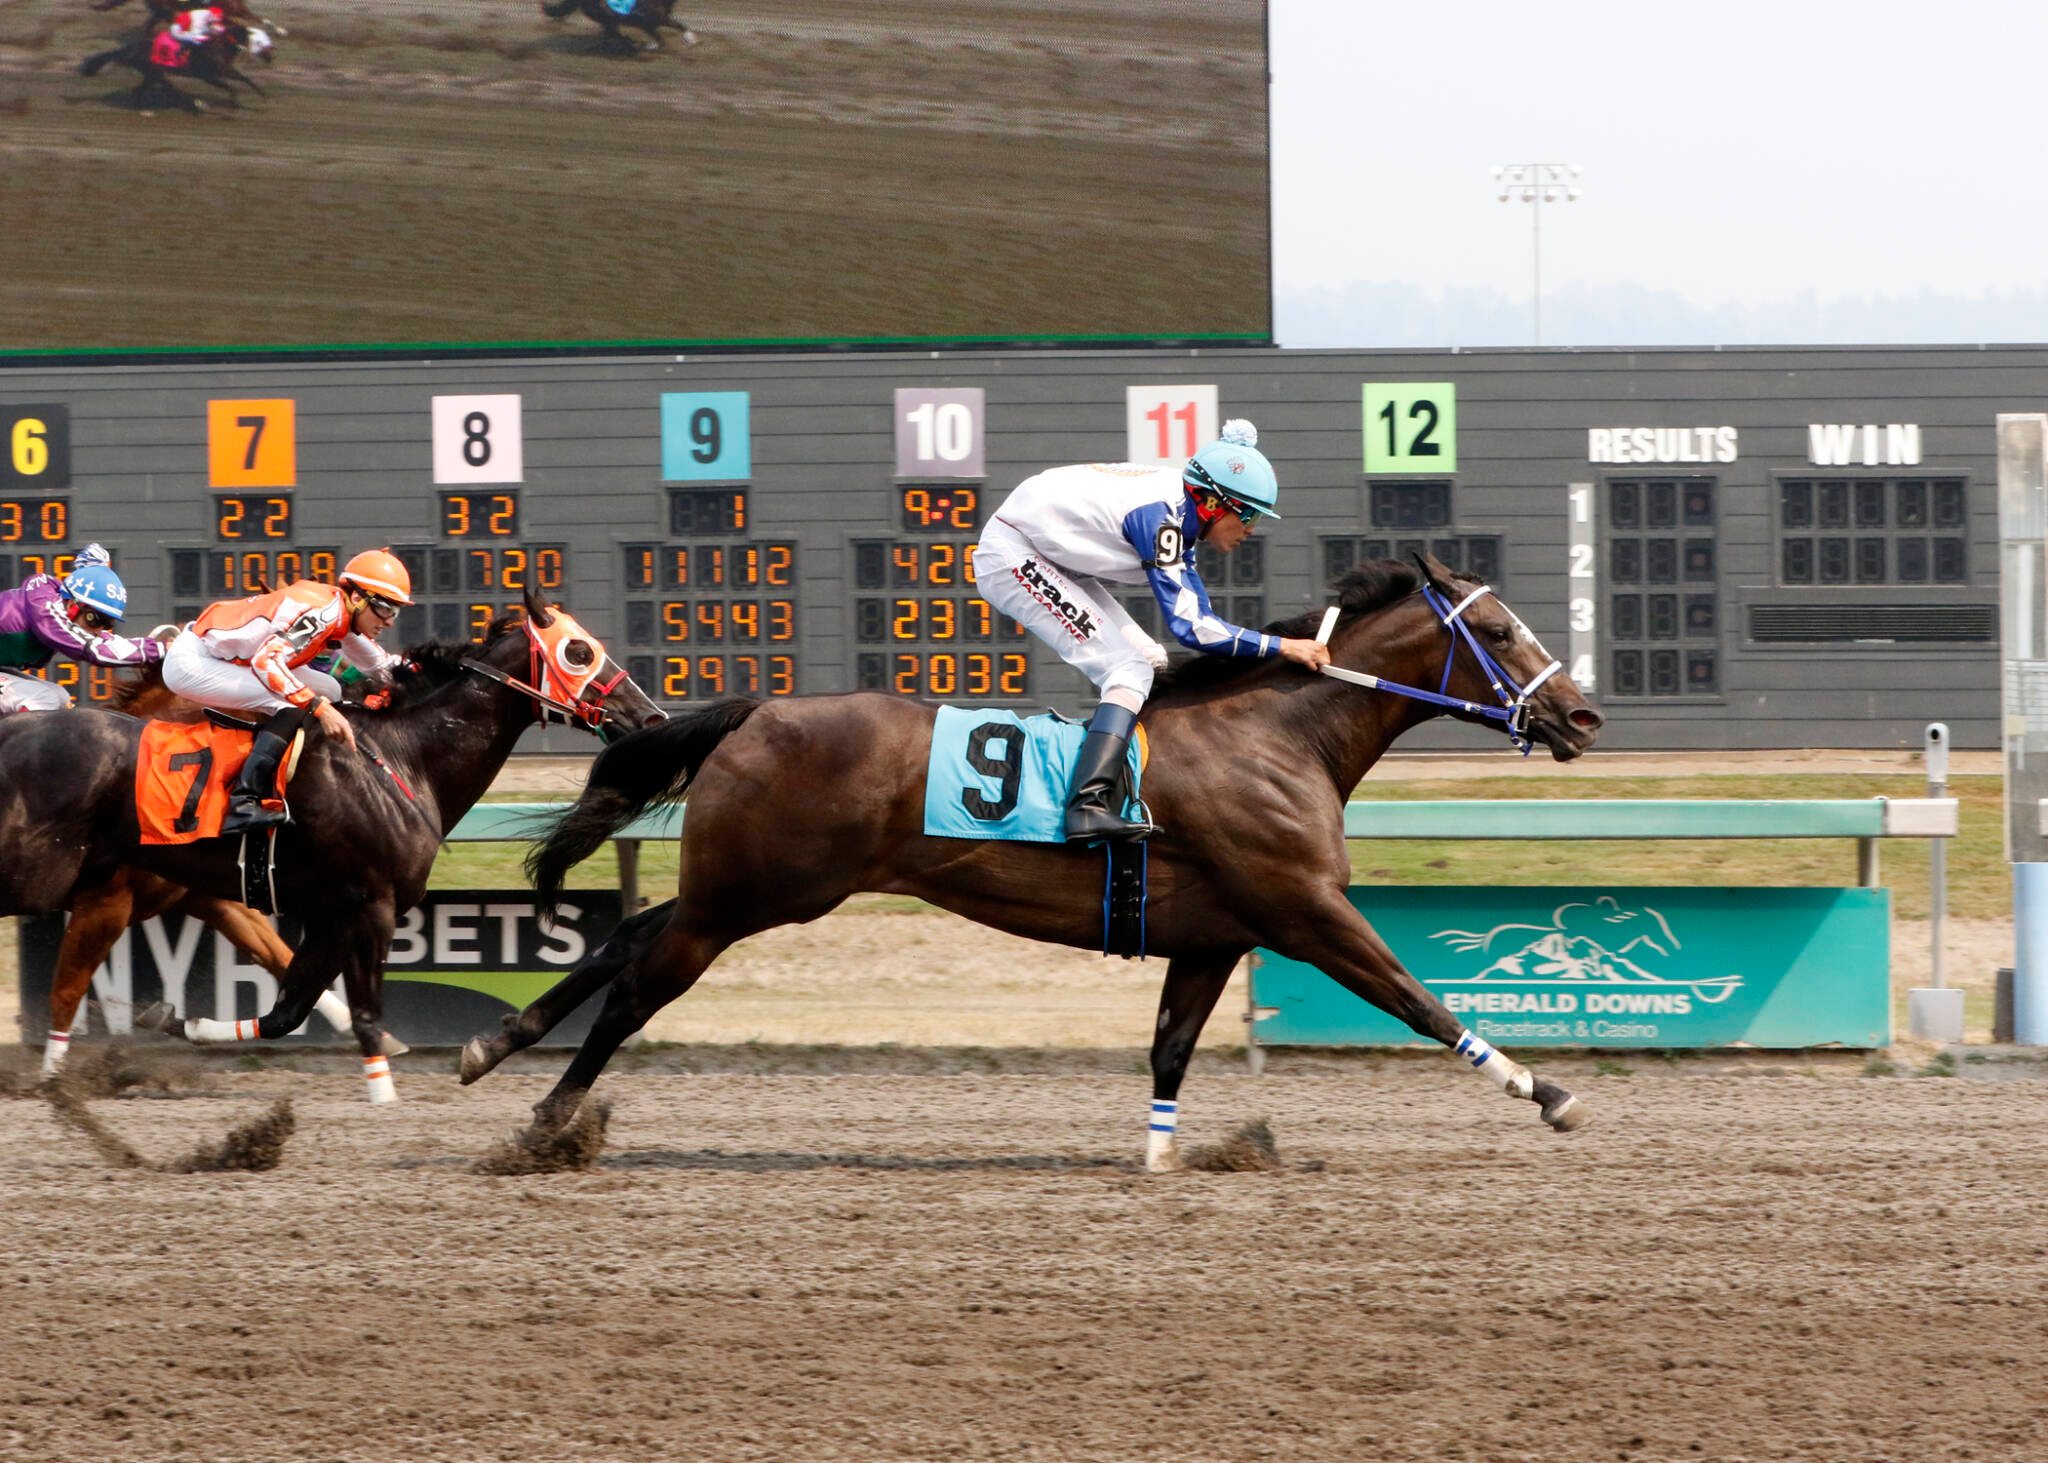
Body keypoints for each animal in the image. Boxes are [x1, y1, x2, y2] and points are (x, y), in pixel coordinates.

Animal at [0, 584, 664, 1102]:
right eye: (580, 651)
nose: (651, 719)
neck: (401, 758)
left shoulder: (327, 910)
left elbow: (285, 1006)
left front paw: (178, 1020)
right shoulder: (371, 906)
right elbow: (362, 1010)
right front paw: (384, 1097)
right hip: (42, 873)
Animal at [461, 556, 1606, 1169]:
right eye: (1500, 628)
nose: (1582, 714)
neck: (1280, 736)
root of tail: (759, 706)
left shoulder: (1212, 936)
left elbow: (1169, 1050)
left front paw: (1161, 1155)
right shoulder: (1306, 909)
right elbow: (1418, 998)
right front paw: (1543, 1087)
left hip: (743, 888)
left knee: (628, 935)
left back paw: (492, 1045)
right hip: (747, 897)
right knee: (636, 989)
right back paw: (549, 1122)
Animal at [541, 0, 698, 53]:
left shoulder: (659, 19)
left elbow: (679, 25)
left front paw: (691, 39)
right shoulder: (647, 22)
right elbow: (660, 38)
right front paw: (650, 46)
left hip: (607, 18)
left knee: (611, 32)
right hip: (605, 16)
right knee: (613, 32)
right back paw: (629, 43)